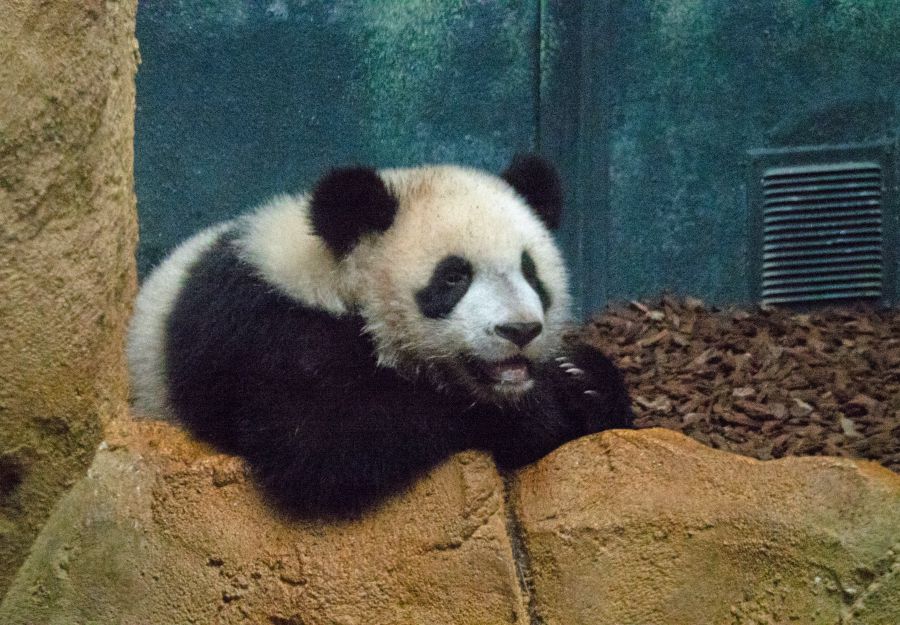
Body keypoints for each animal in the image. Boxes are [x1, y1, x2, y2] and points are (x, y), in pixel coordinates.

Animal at [126, 154, 632, 516]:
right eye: (453, 277)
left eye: (530, 272)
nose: (520, 329)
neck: (333, 276)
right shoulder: (266, 332)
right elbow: (327, 437)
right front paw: (543, 410)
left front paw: (584, 378)